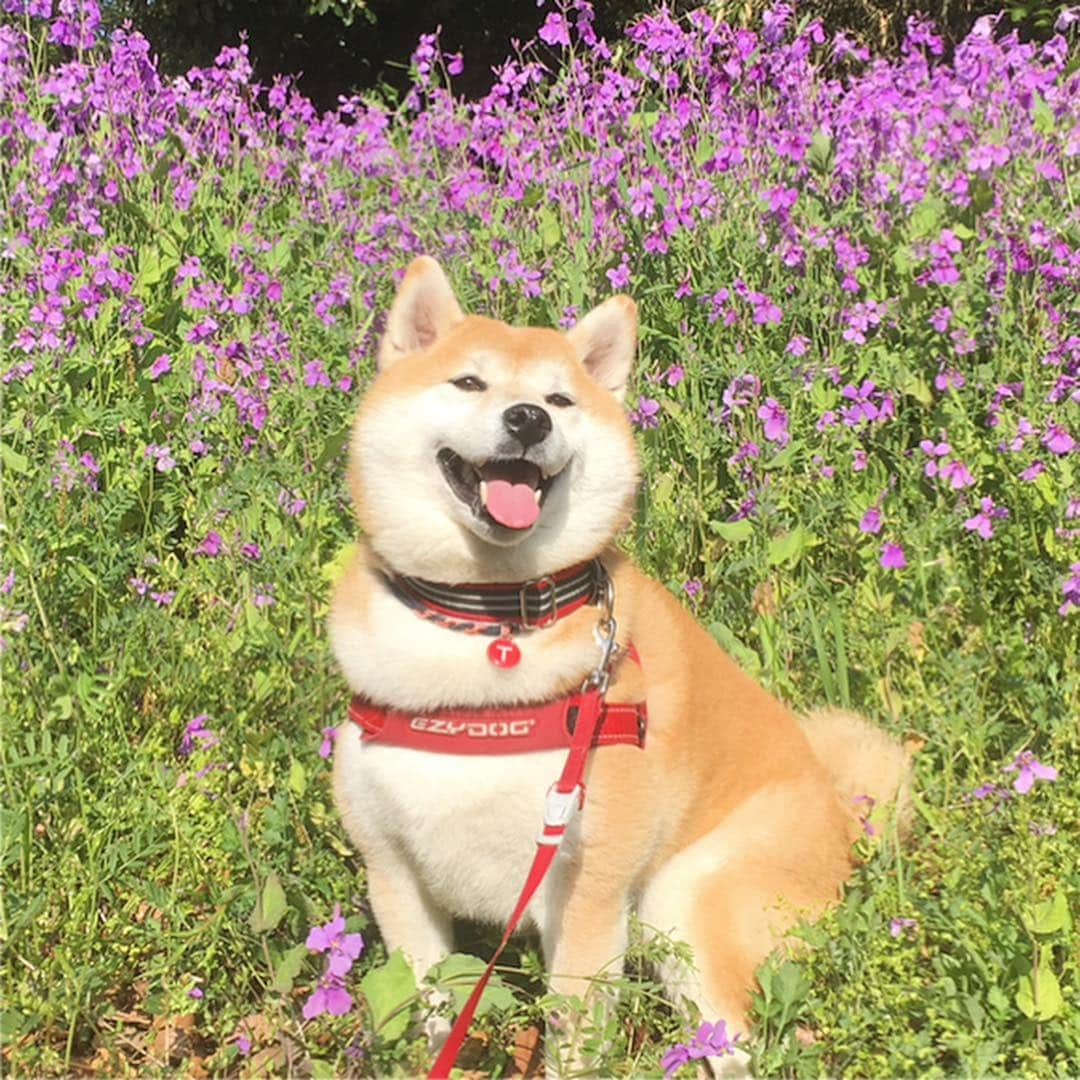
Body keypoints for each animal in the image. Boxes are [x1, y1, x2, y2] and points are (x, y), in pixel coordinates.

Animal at [328, 254, 911, 1071]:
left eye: (559, 399)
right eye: (469, 382)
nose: (528, 420)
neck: (487, 629)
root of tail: (844, 822)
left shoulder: (589, 887)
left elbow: (573, 1038)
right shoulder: (395, 875)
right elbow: (429, 1015)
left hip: (682, 895)